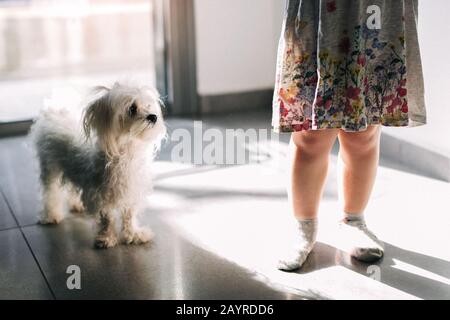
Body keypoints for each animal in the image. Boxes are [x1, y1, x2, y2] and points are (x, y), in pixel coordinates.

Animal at [30, 82, 167, 248]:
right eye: (132, 109)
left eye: (148, 105)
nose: (153, 117)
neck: (127, 151)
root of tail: (55, 109)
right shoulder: (100, 194)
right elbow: (107, 217)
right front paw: (107, 238)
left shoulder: (131, 190)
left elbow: (129, 215)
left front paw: (133, 234)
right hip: (50, 166)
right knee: (50, 192)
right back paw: (51, 215)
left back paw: (77, 205)